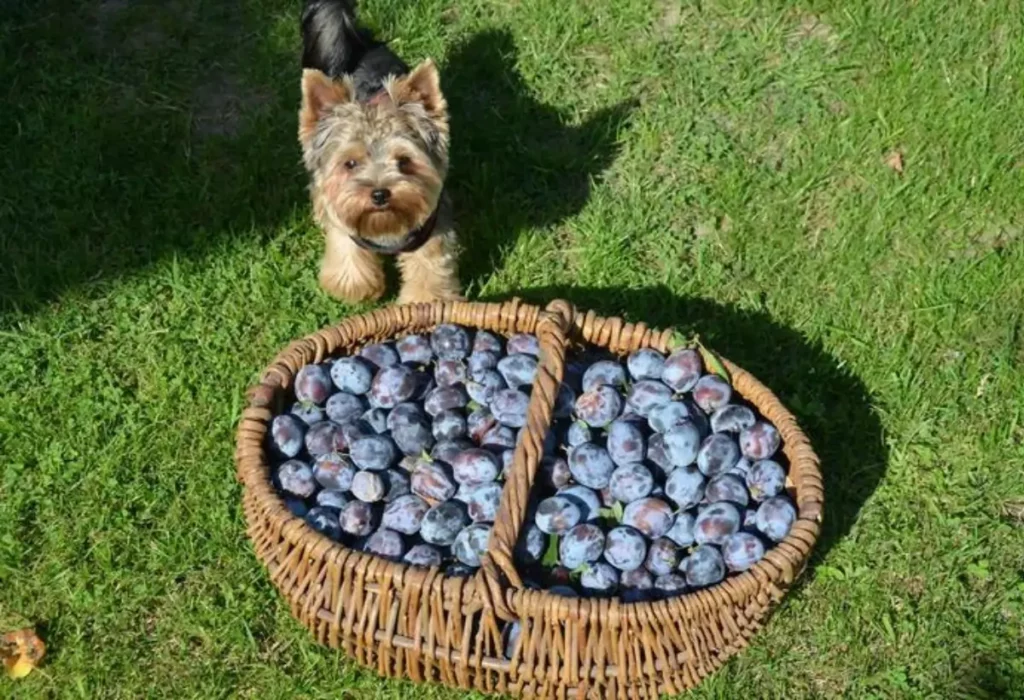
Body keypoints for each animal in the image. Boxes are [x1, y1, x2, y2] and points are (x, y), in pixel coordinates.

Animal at [299, 1, 460, 304]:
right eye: (350, 163)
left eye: (405, 161)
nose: (379, 193)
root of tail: (362, 44)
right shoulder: (341, 211)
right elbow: (345, 245)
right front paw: (355, 284)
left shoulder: (430, 226)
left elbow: (428, 263)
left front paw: (424, 302)